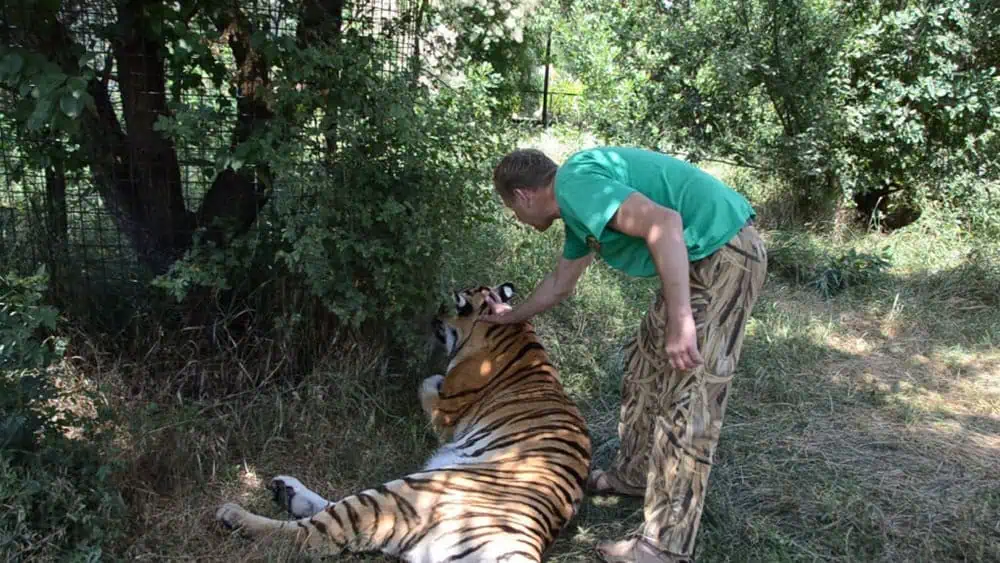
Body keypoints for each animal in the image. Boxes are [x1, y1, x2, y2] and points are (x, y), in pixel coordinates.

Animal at [215, 282, 593, 562]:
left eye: (448, 306)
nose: (433, 315)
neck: (514, 328)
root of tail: (530, 541)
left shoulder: (446, 411)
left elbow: (427, 381)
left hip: (408, 492)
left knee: (310, 536)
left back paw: (234, 513)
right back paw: (285, 489)